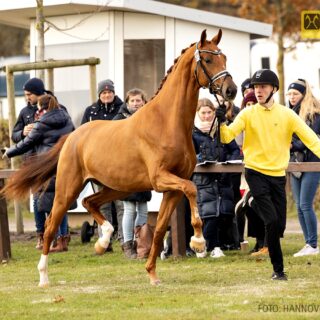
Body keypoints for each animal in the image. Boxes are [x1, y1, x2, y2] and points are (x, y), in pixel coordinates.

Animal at [2, 28, 236, 286]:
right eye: (208, 60)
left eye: (224, 57)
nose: (231, 90)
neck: (167, 122)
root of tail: (73, 136)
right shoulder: (161, 179)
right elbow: (193, 190)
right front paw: (199, 242)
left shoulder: (172, 189)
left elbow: (160, 229)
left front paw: (152, 274)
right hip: (67, 188)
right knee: (51, 223)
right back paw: (44, 276)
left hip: (116, 188)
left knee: (89, 203)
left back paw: (103, 241)